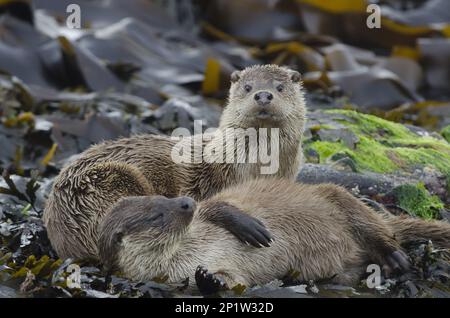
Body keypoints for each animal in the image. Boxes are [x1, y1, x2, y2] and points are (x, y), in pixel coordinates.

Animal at [44, 64, 308, 258]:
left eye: (280, 87)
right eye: (247, 86)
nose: (263, 95)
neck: (256, 167)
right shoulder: (211, 182)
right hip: (109, 181)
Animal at [98, 178, 450, 292]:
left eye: (165, 198)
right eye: (157, 214)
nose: (186, 202)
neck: (192, 250)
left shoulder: (207, 213)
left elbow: (218, 206)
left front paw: (252, 228)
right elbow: (234, 279)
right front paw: (209, 279)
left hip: (339, 197)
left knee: (377, 230)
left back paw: (395, 257)